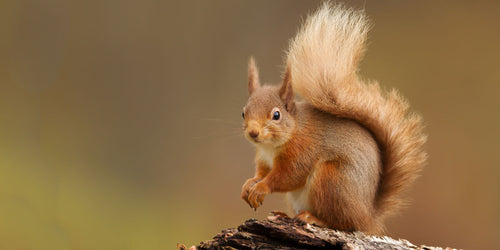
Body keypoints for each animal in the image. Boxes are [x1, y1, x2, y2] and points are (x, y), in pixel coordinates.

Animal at [240, 2, 428, 234]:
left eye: (276, 115)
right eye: (243, 112)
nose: (253, 132)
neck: (273, 145)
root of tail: (369, 216)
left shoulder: (302, 151)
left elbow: (288, 176)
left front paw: (261, 187)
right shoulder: (264, 159)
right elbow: (262, 172)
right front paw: (249, 183)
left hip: (332, 179)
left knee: (343, 222)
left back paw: (314, 218)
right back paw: (285, 215)